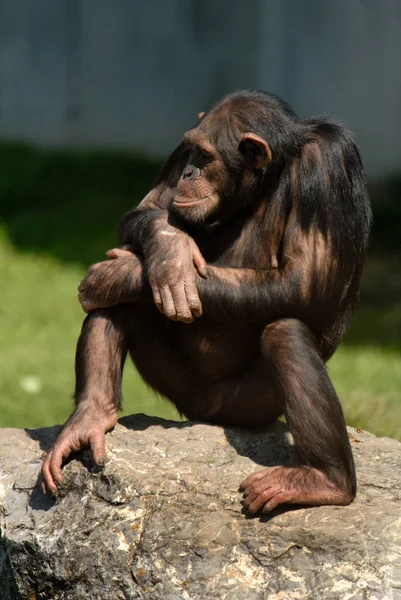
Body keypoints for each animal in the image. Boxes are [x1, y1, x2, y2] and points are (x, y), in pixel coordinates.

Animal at [42, 90, 370, 516]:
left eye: (207, 156)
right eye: (193, 152)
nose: (188, 174)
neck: (270, 176)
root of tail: (204, 413)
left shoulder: (330, 162)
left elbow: (303, 283)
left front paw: (118, 274)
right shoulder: (178, 151)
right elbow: (146, 210)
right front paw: (170, 252)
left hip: (247, 406)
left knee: (285, 331)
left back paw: (324, 480)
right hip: (180, 384)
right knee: (122, 303)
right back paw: (90, 415)